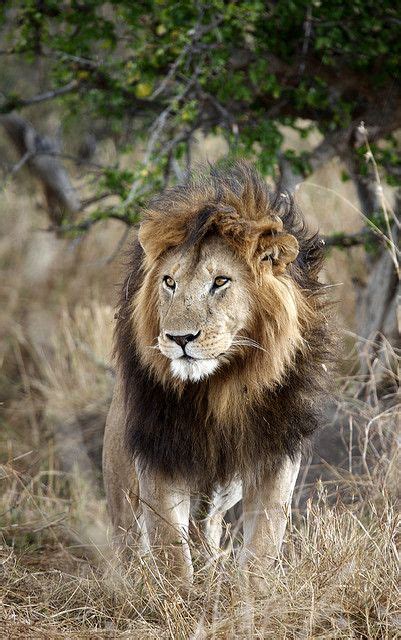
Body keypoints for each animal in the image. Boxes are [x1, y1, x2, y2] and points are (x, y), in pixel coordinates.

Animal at [103, 160, 332, 584]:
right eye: (169, 281)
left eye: (220, 281)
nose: (179, 338)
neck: (221, 386)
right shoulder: (160, 455)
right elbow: (170, 550)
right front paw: (176, 596)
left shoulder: (275, 454)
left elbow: (262, 543)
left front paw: (249, 593)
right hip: (122, 493)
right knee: (132, 542)